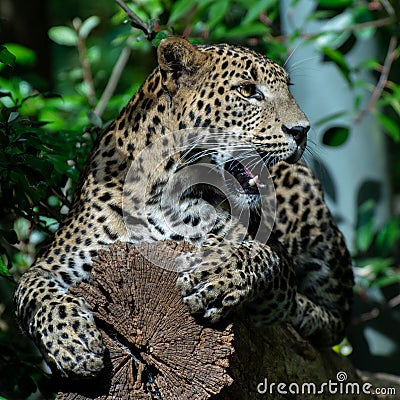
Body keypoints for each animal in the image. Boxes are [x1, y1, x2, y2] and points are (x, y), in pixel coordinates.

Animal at [14, 37, 354, 378]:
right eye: (247, 90)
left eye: (287, 88)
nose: (302, 130)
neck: (167, 190)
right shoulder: (54, 262)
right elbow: (33, 291)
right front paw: (72, 342)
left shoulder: (273, 248)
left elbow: (258, 253)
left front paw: (216, 274)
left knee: (336, 318)